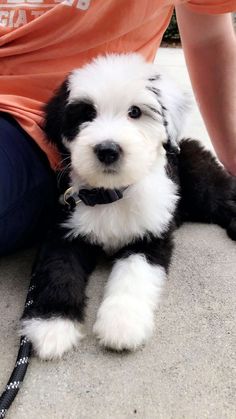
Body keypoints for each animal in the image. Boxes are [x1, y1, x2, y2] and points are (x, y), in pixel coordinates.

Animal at [20, 53, 236, 360]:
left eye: (135, 112)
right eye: (86, 114)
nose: (108, 150)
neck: (112, 194)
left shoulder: (151, 237)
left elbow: (134, 275)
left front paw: (122, 324)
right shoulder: (64, 229)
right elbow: (59, 271)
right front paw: (52, 326)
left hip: (200, 184)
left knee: (224, 198)